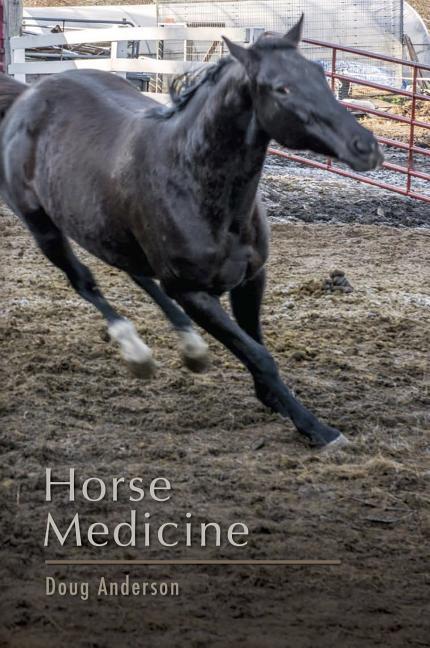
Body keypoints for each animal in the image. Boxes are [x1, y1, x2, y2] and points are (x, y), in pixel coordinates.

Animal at [0, 16, 383, 448]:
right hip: (43, 227)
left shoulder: (251, 278)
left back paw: (192, 348)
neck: (192, 180)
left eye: (319, 72)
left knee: (139, 276)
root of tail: (28, 95)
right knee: (84, 281)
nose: (366, 146)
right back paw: (137, 353)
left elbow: (255, 343)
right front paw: (316, 428)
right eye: (280, 87)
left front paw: (274, 400)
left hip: (109, 231)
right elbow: (258, 354)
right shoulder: (193, 292)